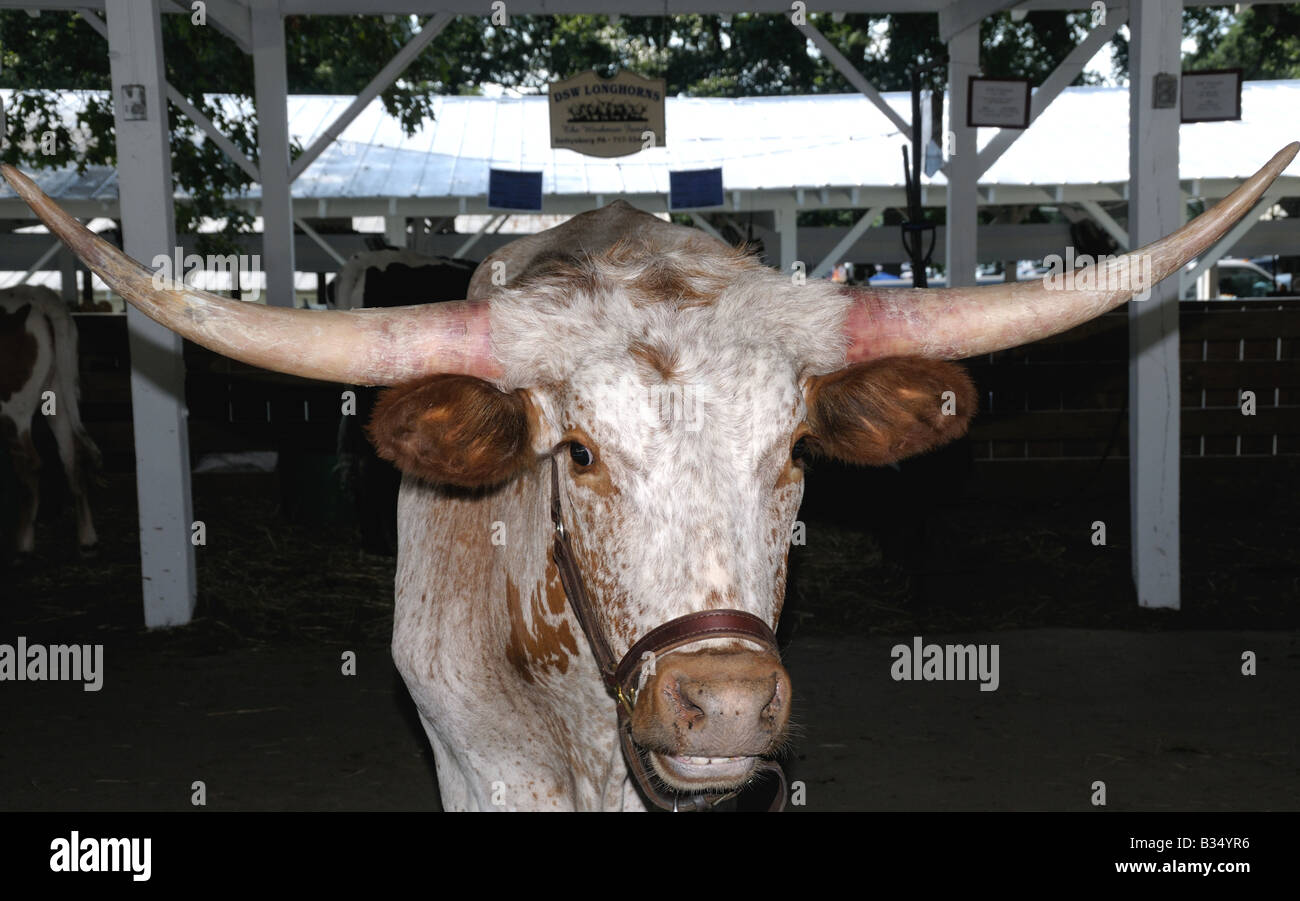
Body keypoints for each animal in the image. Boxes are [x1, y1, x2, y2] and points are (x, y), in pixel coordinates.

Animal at [0, 285, 100, 560]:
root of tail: (37, 297)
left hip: (14, 406)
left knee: (30, 464)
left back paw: (24, 544)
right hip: (59, 395)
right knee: (73, 457)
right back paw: (87, 539)